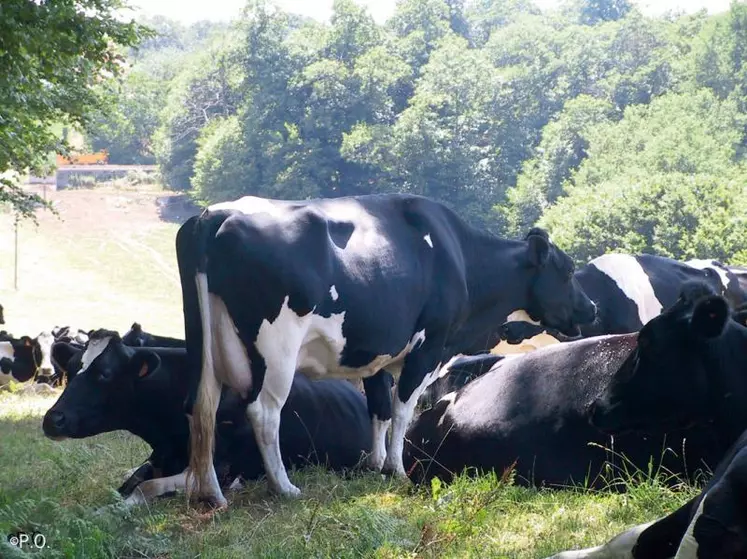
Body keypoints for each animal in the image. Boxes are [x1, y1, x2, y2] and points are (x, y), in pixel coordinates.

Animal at [41, 332, 374, 508]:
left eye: (104, 374)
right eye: (72, 368)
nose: (52, 419)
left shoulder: (223, 467)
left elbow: (145, 487)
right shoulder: (161, 454)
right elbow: (133, 480)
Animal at [177, 194, 596, 508]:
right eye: (567, 270)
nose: (591, 308)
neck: (460, 258)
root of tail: (216, 214)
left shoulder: (377, 350)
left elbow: (378, 408)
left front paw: (374, 463)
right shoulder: (428, 346)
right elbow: (402, 409)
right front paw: (395, 467)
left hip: (205, 346)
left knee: (203, 407)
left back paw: (210, 493)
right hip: (276, 349)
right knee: (264, 413)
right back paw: (283, 487)